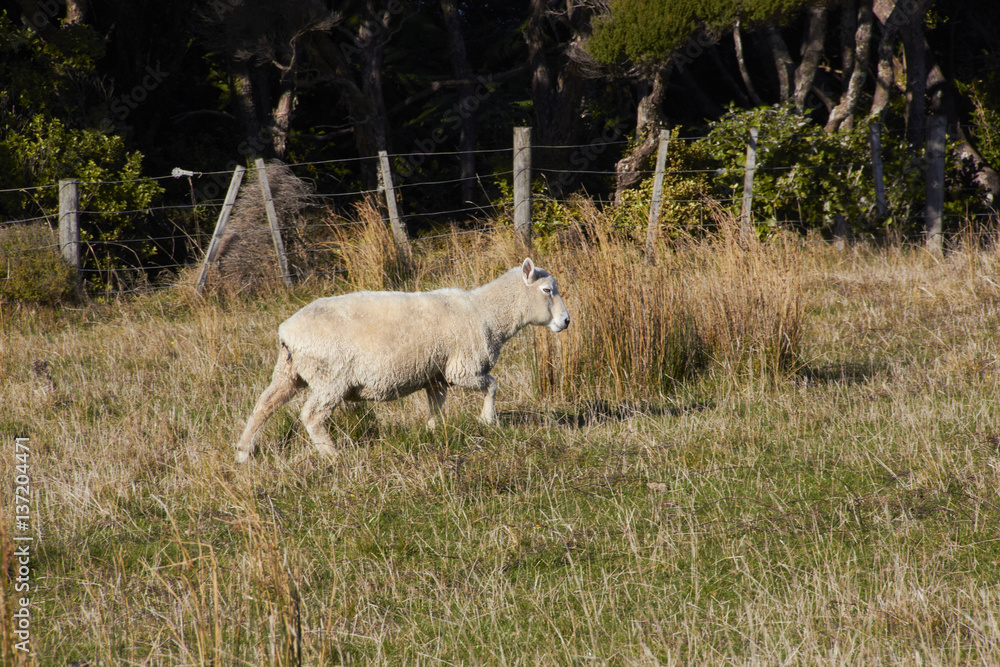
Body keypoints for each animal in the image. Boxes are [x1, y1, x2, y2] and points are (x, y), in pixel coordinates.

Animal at [235, 258, 570, 462]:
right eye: (547, 290)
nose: (566, 321)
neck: (487, 313)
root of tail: (287, 331)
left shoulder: (436, 375)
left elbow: (436, 404)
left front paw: (434, 430)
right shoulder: (462, 367)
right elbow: (493, 385)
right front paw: (488, 420)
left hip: (289, 370)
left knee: (264, 405)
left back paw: (243, 452)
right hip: (331, 377)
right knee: (312, 415)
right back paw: (332, 455)